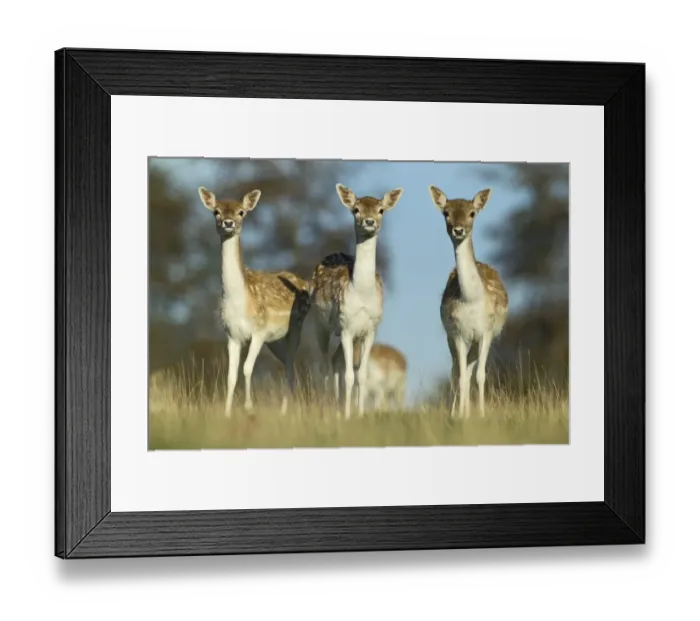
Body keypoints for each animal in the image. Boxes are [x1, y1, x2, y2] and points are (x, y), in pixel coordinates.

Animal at [198, 186, 311, 417]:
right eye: (216, 211)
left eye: (241, 212)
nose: (228, 223)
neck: (240, 304)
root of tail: (306, 282)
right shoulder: (232, 335)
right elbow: (231, 375)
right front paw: (227, 413)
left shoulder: (259, 331)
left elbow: (247, 368)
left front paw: (249, 407)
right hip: (275, 341)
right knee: (288, 364)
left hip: (295, 329)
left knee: (290, 366)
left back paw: (285, 411)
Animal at [310, 183, 404, 419]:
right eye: (356, 209)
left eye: (381, 210)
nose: (369, 222)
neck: (362, 293)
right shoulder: (346, 326)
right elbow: (349, 376)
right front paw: (346, 415)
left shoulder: (370, 329)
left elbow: (360, 375)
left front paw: (358, 414)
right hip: (319, 325)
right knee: (325, 365)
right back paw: (327, 410)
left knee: (335, 361)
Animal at [429, 185, 509, 419]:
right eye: (446, 213)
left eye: (472, 213)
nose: (458, 230)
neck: (471, 300)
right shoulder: (458, 333)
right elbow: (461, 376)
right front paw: (462, 415)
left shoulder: (486, 332)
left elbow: (480, 375)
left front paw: (480, 414)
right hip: (452, 338)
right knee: (456, 371)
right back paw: (455, 411)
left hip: (475, 342)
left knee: (469, 370)